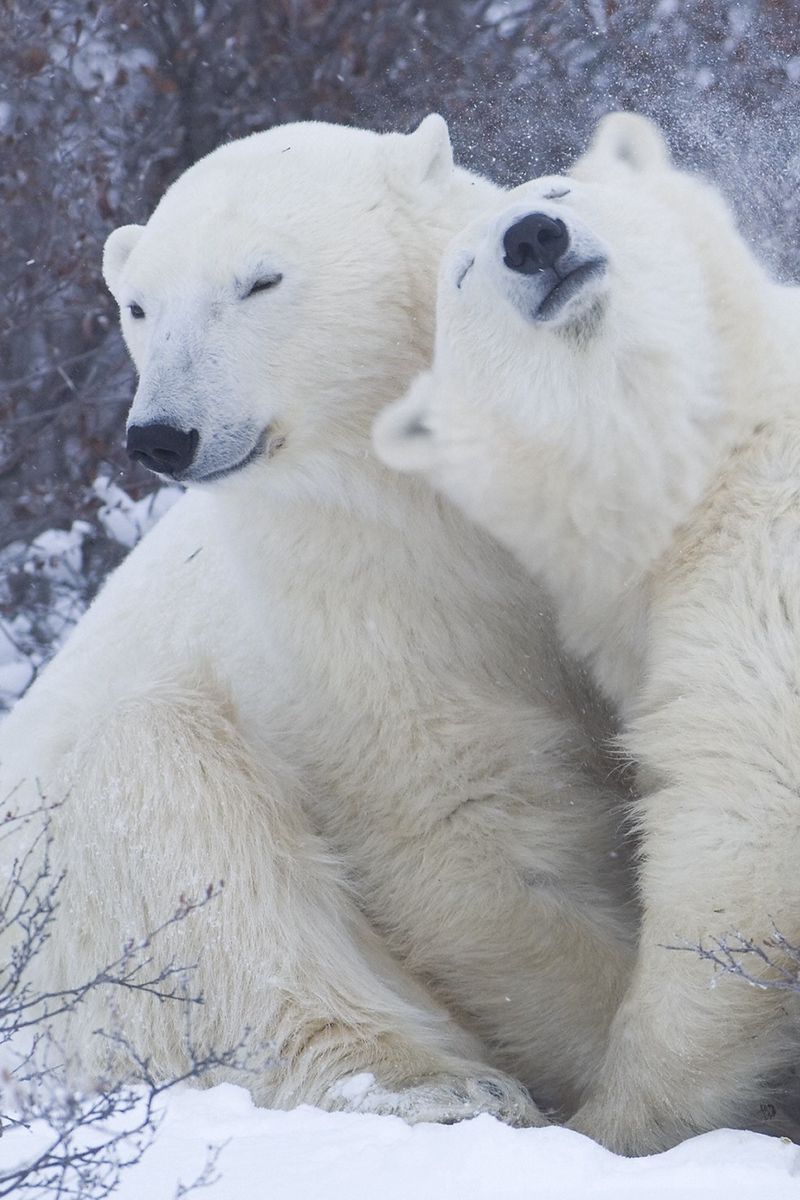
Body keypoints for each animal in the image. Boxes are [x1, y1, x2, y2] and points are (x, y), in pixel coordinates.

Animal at [1, 112, 638, 1123]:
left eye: (260, 280)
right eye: (138, 307)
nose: (162, 435)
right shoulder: (357, 600)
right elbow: (467, 825)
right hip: (64, 893)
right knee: (180, 823)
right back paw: (436, 1085)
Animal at [379, 114, 800, 1152]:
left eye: (560, 191)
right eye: (460, 273)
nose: (534, 239)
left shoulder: (758, 571)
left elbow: (741, 825)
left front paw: (612, 1121)